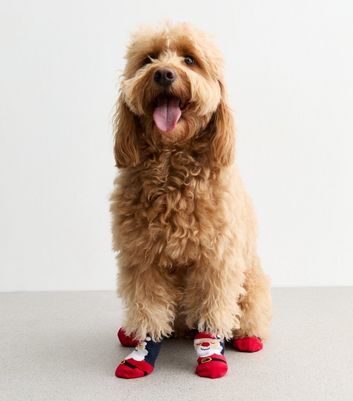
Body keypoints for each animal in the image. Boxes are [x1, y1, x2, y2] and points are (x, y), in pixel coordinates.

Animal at [111, 21, 270, 378]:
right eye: (149, 59)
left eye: (190, 60)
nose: (164, 74)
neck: (172, 164)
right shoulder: (142, 260)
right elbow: (149, 310)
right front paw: (142, 351)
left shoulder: (216, 262)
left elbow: (213, 311)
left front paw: (210, 353)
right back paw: (130, 335)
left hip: (251, 282)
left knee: (246, 313)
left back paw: (247, 336)